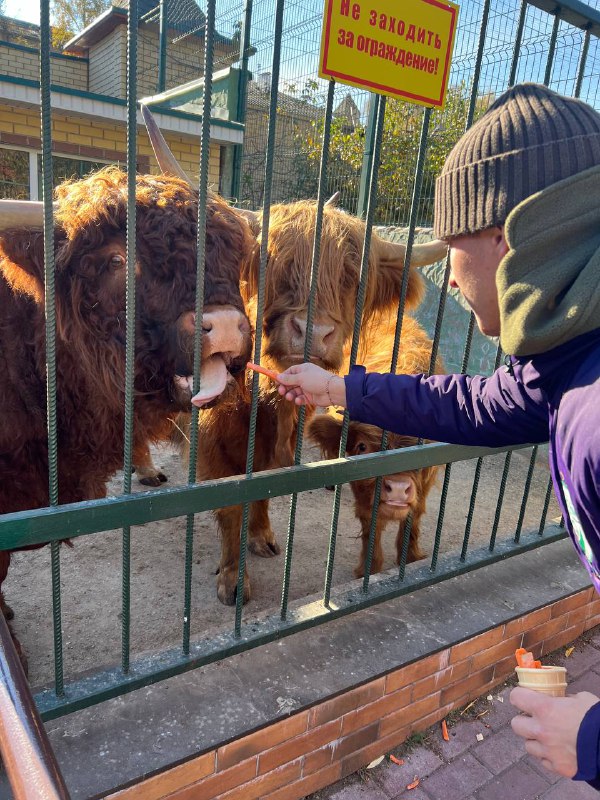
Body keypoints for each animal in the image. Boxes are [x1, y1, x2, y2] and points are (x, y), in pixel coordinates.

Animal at [308, 316, 442, 580]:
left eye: (421, 446)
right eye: (362, 446)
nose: (398, 488)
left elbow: (413, 519)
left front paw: (411, 557)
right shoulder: (363, 491)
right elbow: (371, 526)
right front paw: (368, 569)